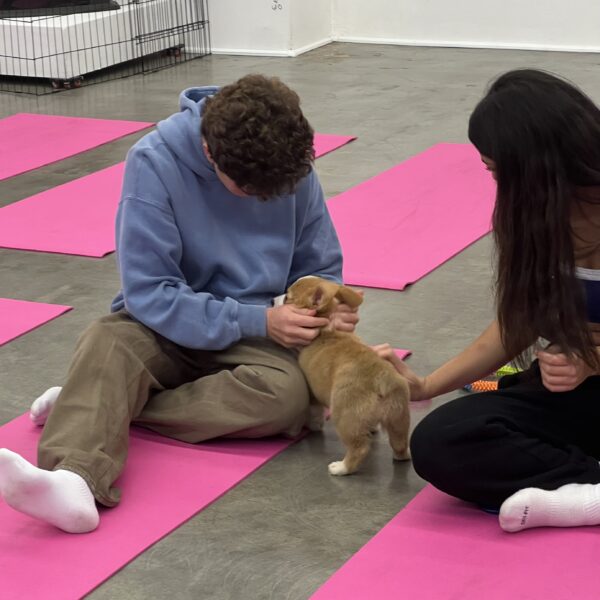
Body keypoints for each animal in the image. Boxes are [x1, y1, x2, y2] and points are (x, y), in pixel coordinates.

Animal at [285, 276, 411, 475]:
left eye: (287, 298)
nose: (272, 300)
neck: (326, 329)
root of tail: (381, 378)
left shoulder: (313, 392)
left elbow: (314, 412)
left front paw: (313, 425)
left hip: (344, 417)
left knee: (359, 448)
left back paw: (341, 468)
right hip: (398, 417)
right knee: (399, 444)